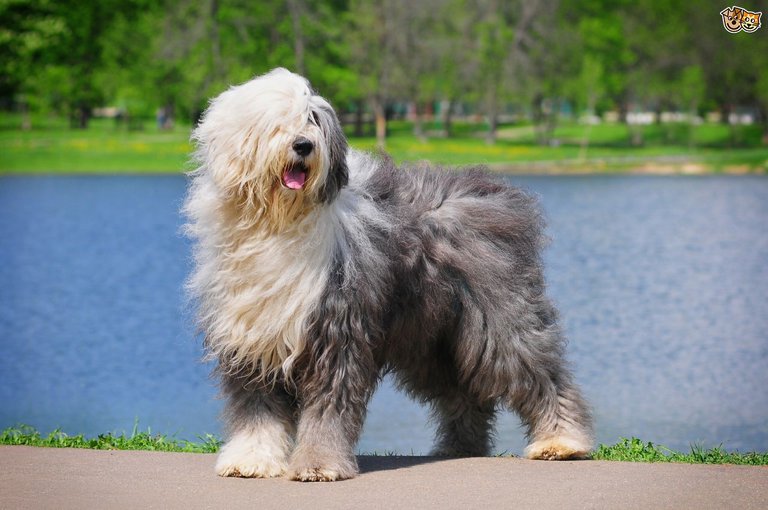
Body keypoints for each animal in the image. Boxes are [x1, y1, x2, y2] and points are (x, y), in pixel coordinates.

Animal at [184, 68, 592, 482]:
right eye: (276, 121)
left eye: (313, 119)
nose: (303, 146)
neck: (278, 223)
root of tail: (495, 195)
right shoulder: (251, 339)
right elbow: (257, 410)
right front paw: (251, 459)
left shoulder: (335, 331)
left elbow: (328, 407)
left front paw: (319, 464)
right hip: (433, 339)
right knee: (464, 394)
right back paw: (460, 446)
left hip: (498, 319)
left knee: (538, 372)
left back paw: (562, 441)